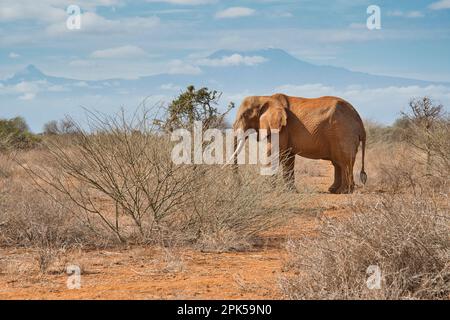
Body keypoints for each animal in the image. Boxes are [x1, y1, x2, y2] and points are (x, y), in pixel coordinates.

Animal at [229, 94, 366, 194]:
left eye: (244, 115)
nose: (238, 184)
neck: (264, 97)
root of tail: (360, 120)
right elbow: (288, 158)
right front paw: (291, 191)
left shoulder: (281, 129)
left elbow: (273, 154)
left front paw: (266, 190)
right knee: (338, 162)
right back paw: (333, 190)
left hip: (343, 133)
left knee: (344, 162)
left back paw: (343, 191)